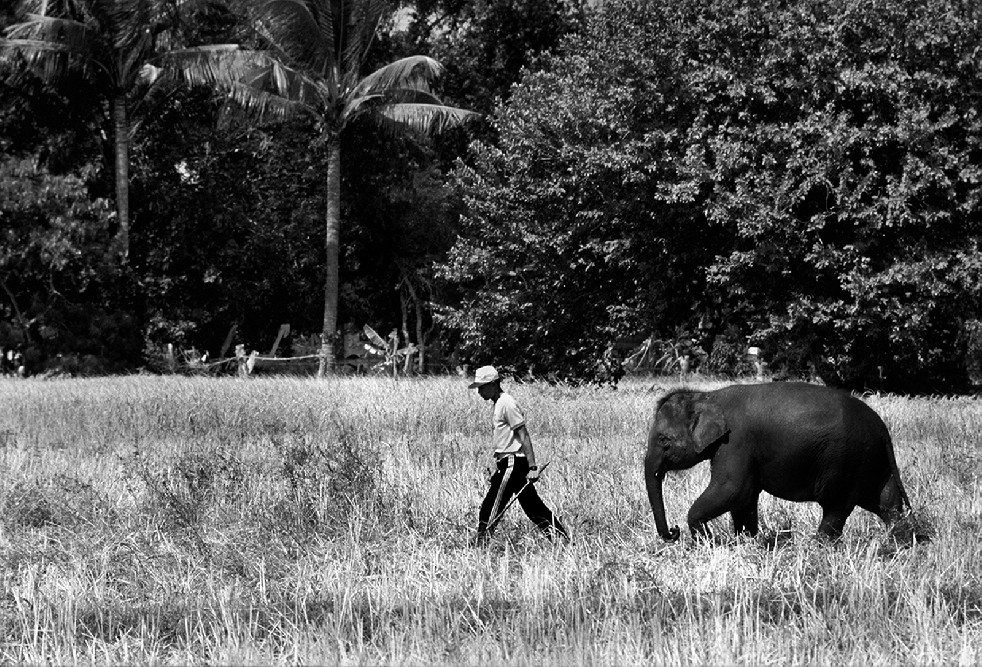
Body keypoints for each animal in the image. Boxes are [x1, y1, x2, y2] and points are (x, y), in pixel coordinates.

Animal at [644, 380, 916, 544]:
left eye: (663, 440)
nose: (673, 532)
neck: (707, 396)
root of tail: (881, 427)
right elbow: (745, 498)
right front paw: (746, 541)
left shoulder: (735, 443)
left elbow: (732, 489)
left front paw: (707, 542)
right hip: (870, 460)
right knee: (886, 501)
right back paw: (898, 540)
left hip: (846, 460)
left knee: (836, 506)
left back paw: (818, 547)